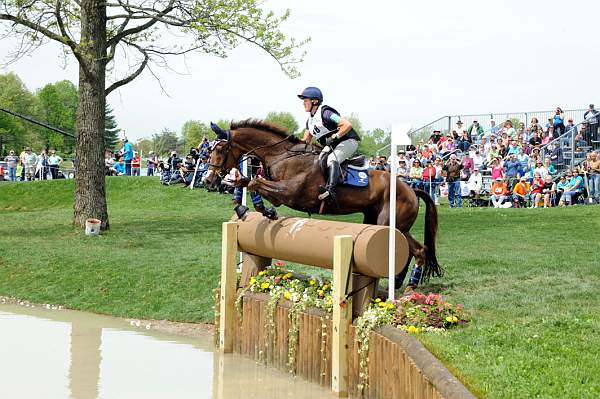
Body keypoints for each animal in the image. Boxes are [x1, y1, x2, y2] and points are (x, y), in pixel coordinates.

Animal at [204, 120, 442, 282]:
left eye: (220, 149)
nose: (208, 180)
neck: (281, 156)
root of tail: (410, 188)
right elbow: (246, 181)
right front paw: (246, 207)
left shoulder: (289, 193)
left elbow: (255, 183)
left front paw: (263, 210)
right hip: (379, 221)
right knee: (415, 250)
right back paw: (401, 282)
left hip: (391, 223)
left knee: (418, 250)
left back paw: (407, 287)